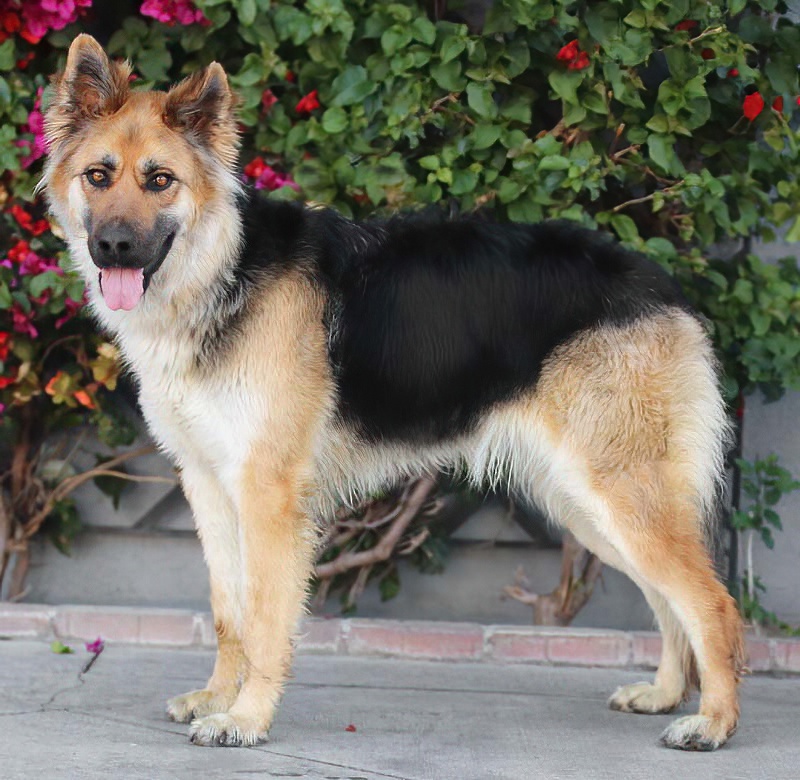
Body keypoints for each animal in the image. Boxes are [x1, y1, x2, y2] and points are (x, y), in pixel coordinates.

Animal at [43, 34, 745, 751]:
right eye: (98, 176)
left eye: (160, 180)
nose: (113, 247)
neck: (222, 268)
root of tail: (661, 285)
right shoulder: (209, 485)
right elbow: (227, 611)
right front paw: (217, 698)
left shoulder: (267, 495)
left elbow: (264, 617)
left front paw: (244, 718)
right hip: (588, 508)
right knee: (668, 599)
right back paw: (664, 693)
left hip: (620, 498)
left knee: (712, 601)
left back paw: (713, 722)